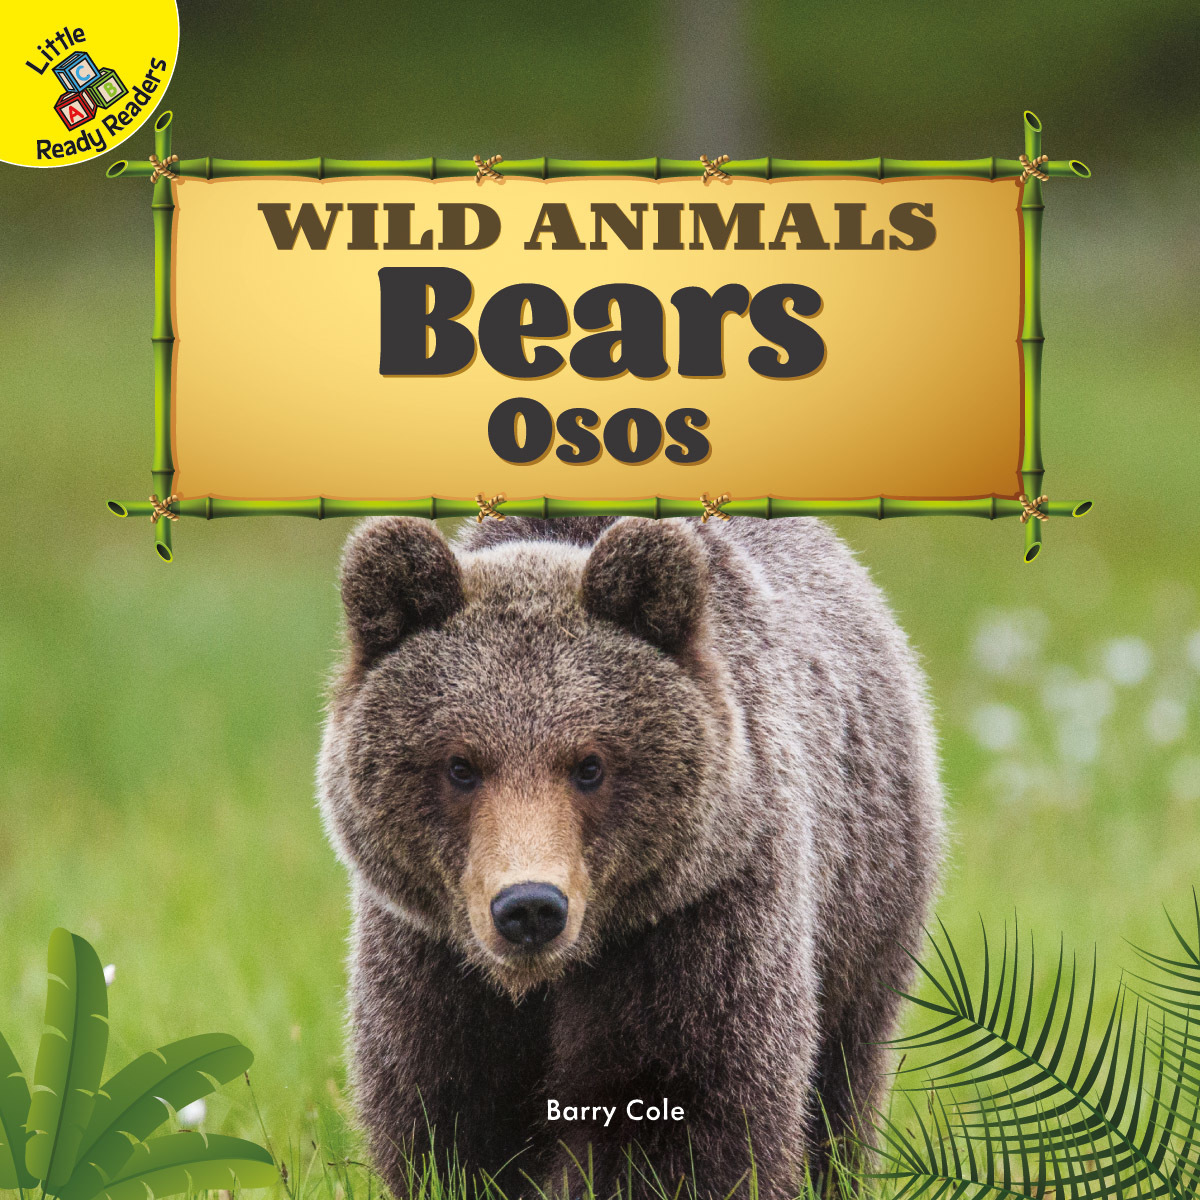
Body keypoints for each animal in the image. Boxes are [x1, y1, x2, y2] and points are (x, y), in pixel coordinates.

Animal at [318, 514, 943, 1200]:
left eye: (589, 764)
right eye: (461, 764)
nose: (530, 907)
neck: (547, 979)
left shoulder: (696, 922)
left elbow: (681, 1110)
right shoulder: (432, 959)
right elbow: (449, 1117)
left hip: (865, 904)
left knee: (842, 1076)